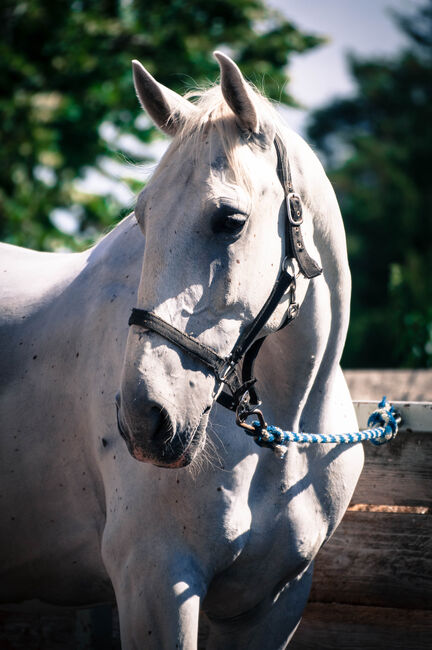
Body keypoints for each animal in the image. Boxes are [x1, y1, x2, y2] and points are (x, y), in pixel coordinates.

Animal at [0, 53, 364, 644]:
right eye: (142, 217)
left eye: (231, 220)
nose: (145, 418)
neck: (282, 437)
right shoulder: (157, 582)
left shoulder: (272, 602)